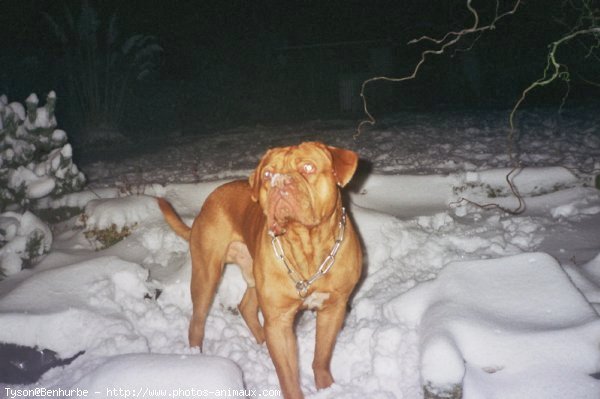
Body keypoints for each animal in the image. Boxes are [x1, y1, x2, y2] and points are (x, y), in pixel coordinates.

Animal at [157, 142, 360, 398]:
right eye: (268, 174)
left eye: (308, 167)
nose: (280, 182)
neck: (307, 246)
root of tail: (211, 197)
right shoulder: (278, 320)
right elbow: (288, 376)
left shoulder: (333, 308)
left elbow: (321, 356)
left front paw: (326, 388)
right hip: (206, 275)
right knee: (197, 322)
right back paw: (196, 358)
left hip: (254, 274)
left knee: (246, 306)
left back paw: (262, 341)